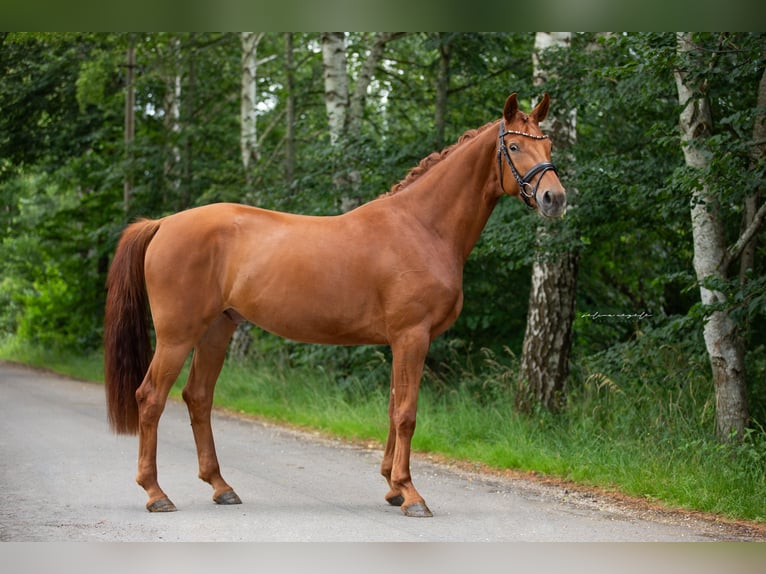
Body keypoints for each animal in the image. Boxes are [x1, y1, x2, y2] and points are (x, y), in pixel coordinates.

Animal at [105, 93, 568, 516]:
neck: (421, 227)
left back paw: (221, 487)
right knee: (150, 397)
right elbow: (407, 413)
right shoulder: (411, 336)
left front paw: (393, 487)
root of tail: (164, 223)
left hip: (218, 329)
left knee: (198, 397)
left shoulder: (400, 342)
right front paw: (411, 494)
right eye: (514, 146)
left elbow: (392, 408)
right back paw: (156, 493)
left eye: (548, 144)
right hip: (177, 335)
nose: (555, 198)